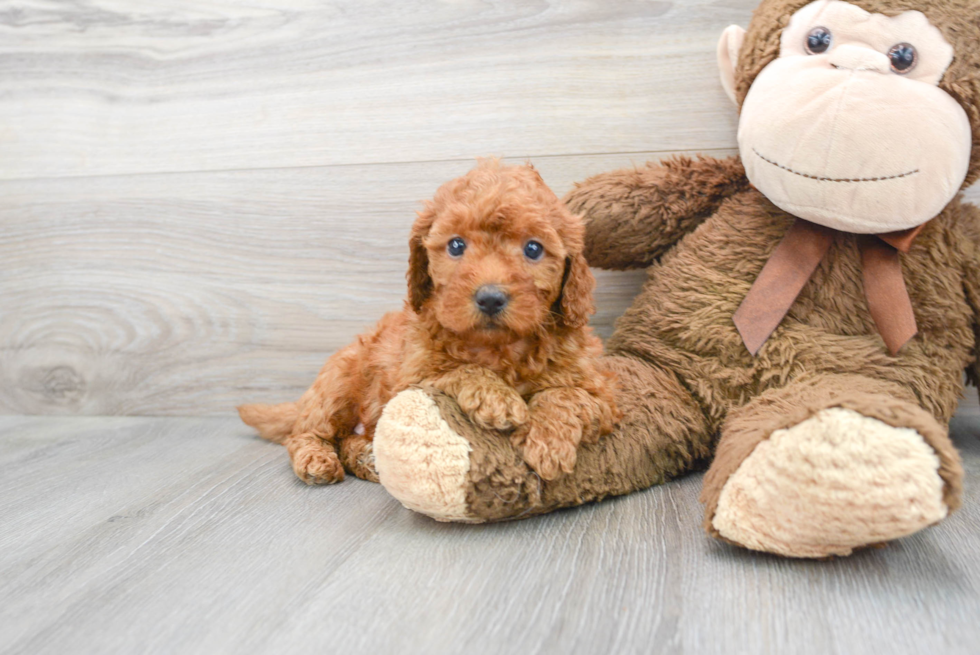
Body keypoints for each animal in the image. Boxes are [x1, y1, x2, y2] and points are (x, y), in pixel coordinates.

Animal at [240, 161, 616, 484]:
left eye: (534, 249)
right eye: (456, 245)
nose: (490, 298)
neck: (499, 349)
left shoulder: (604, 397)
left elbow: (566, 394)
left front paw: (546, 441)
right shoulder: (411, 378)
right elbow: (455, 370)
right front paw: (496, 398)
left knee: (348, 439)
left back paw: (367, 459)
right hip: (337, 382)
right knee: (306, 433)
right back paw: (317, 459)